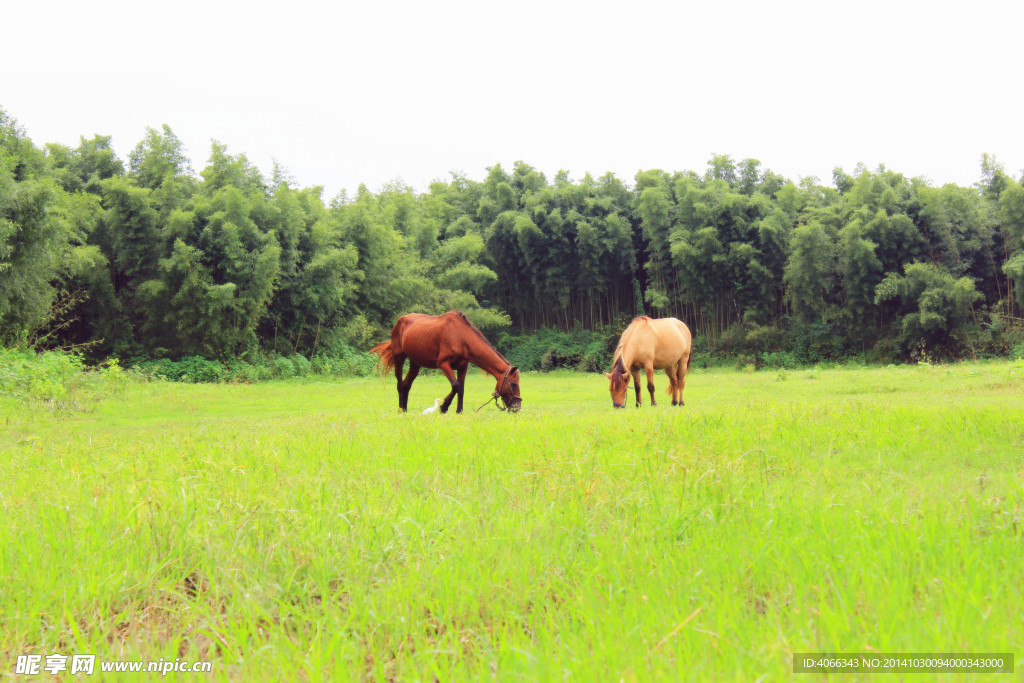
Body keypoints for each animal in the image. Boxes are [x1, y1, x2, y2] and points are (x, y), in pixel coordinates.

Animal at [372, 313, 524, 413]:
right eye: (513, 384)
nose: (517, 408)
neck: (461, 337)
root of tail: (401, 320)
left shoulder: (463, 367)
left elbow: (461, 389)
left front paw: (459, 411)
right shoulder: (444, 364)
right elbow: (455, 386)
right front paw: (443, 407)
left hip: (416, 364)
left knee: (406, 385)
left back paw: (404, 408)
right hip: (399, 358)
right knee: (399, 384)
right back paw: (400, 409)